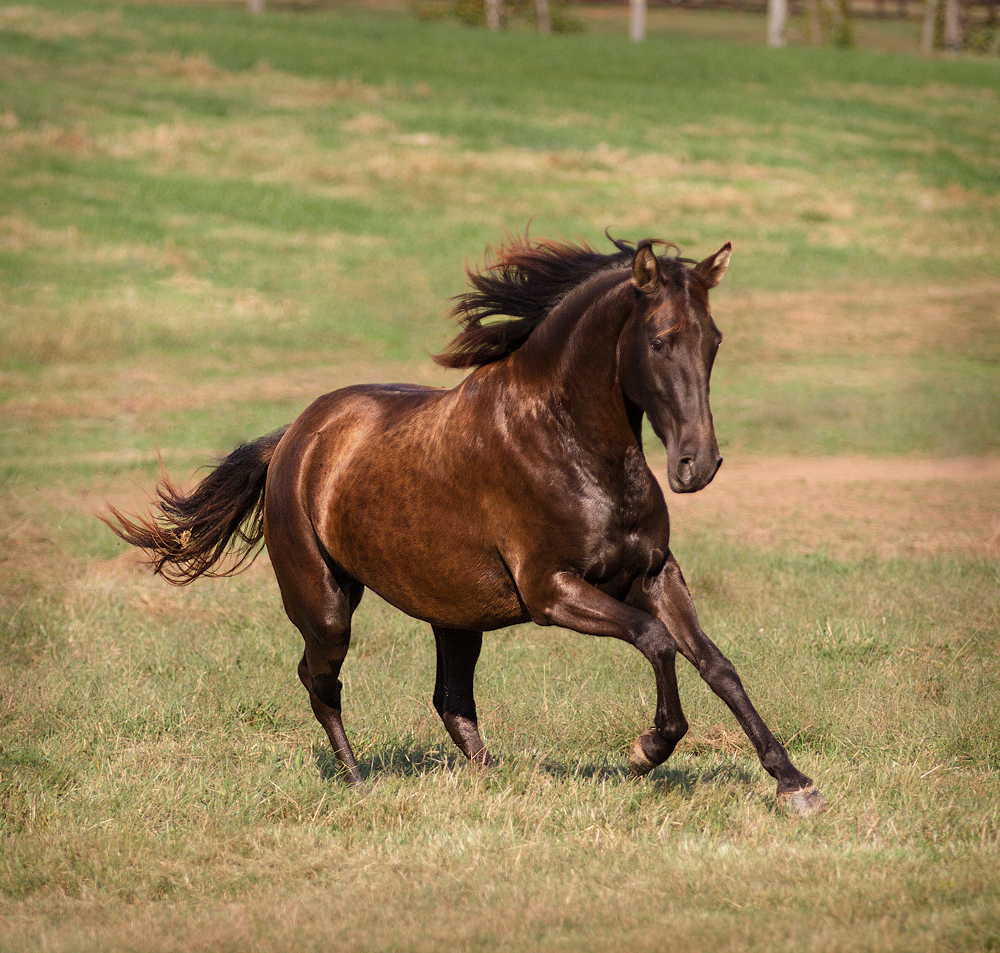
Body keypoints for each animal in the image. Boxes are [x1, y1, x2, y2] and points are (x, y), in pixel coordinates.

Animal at [103, 234, 828, 816]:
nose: (696, 464)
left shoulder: (653, 572)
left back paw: (494, 777)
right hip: (327, 602)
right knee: (321, 678)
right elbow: (656, 641)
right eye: (659, 341)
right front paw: (646, 748)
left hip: (456, 615)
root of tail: (292, 440)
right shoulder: (551, 590)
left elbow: (716, 663)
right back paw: (357, 778)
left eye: (715, 341)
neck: (569, 441)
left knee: (450, 699)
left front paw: (794, 783)